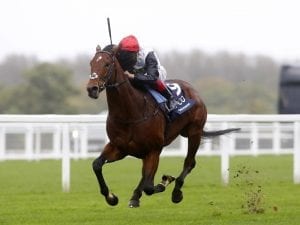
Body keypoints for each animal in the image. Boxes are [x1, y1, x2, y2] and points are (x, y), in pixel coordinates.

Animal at [86, 44, 239, 207]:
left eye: (107, 64)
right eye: (91, 63)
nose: (91, 89)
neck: (131, 112)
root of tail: (193, 90)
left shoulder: (153, 149)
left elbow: (149, 186)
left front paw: (165, 181)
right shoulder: (119, 147)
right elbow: (96, 164)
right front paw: (111, 197)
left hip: (194, 132)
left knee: (189, 162)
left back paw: (176, 192)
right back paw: (136, 196)